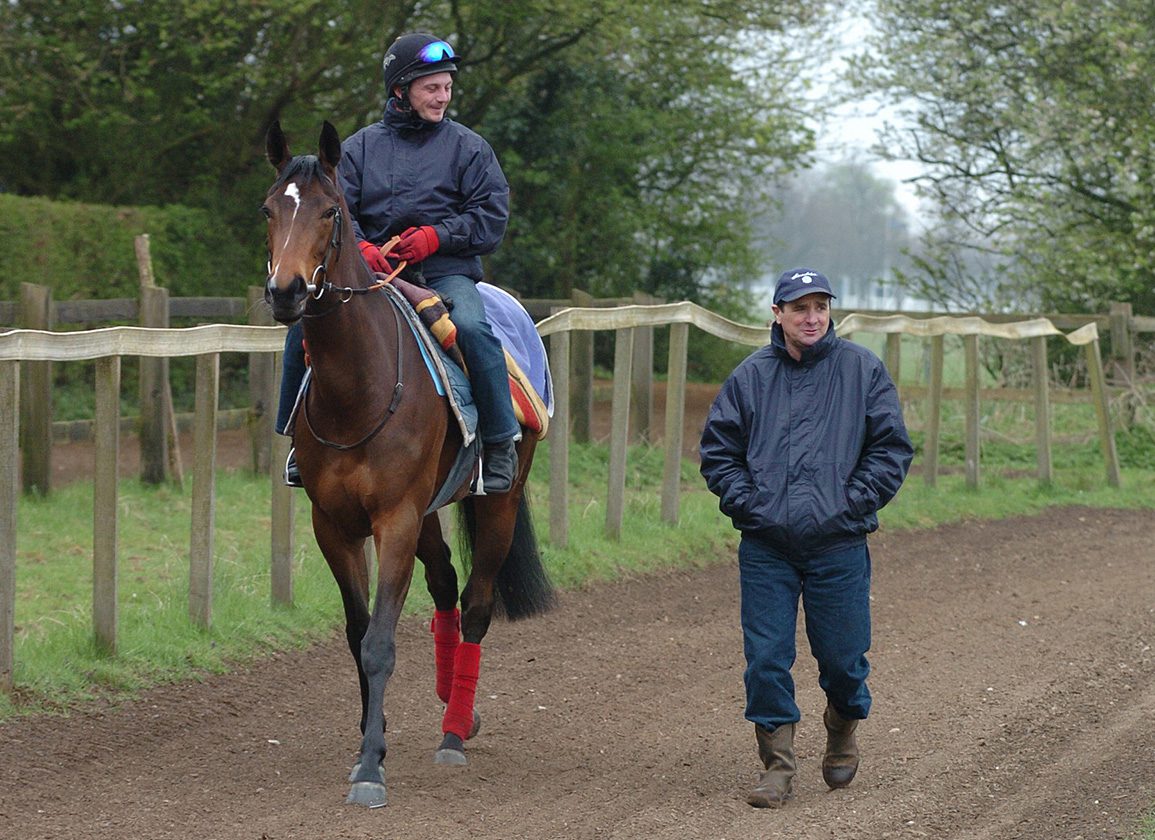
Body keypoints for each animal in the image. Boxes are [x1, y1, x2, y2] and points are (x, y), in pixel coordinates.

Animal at [261, 120, 554, 808]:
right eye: (268, 209)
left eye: (330, 211)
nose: (286, 291)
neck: (358, 387)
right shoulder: (335, 525)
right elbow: (357, 633)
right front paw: (371, 743)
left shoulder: (392, 518)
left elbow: (380, 643)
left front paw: (371, 767)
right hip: (426, 511)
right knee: (445, 582)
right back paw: (456, 706)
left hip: (495, 503)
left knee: (475, 603)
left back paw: (454, 731)